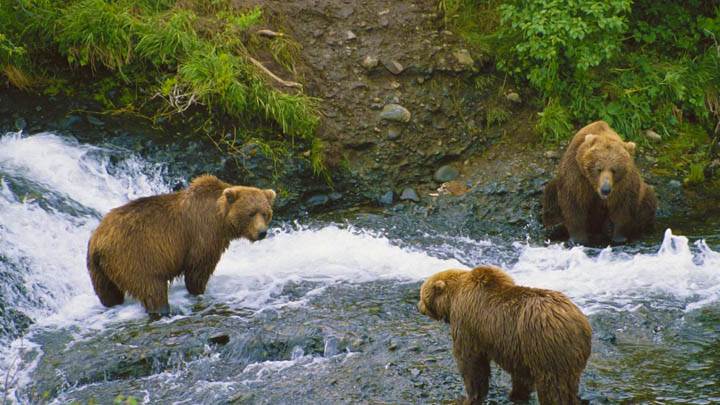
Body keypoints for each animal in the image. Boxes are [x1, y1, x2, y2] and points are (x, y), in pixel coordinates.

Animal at [87, 174, 276, 317]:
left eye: (265, 213)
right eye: (251, 213)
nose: (262, 232)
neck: (221, 219)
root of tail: (99, 240)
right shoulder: (203, 234)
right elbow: (198, 268)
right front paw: (198, 291)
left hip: (98, 269)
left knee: (108, 293)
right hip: (134, 256)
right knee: (151, 288)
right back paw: (162, 310)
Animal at [418, 265, 592, 405]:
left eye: (422, 294)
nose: (418, 306)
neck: (454, 298)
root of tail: (577, 321)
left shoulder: (467, 324)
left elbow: (471, 362)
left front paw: (468, 397)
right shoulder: (517, 348)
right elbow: (521, 374)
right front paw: (517, 394)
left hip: (545, 347)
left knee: (553, 386)